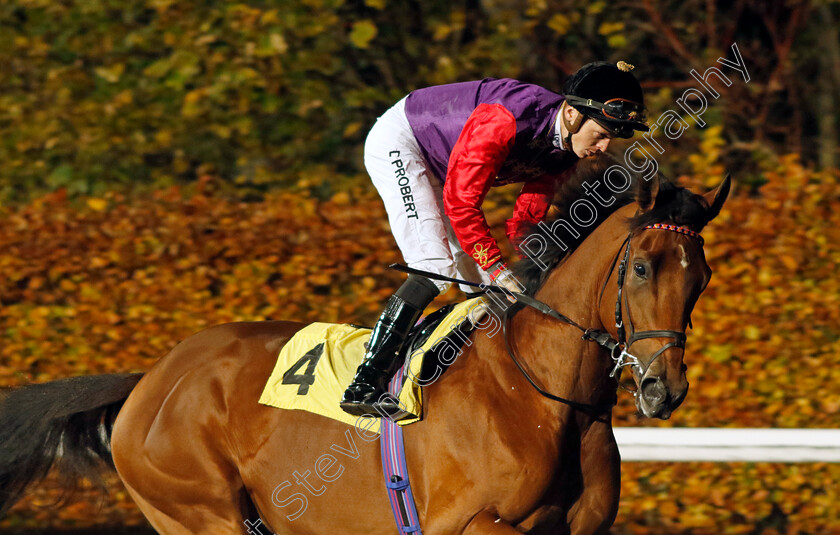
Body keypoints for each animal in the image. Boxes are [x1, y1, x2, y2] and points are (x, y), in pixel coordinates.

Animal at [1, 170, 728, 532]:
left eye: (702, 277)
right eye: (642, 269)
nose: (664, 388)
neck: (545, 398)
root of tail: (150, 382)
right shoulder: (460, 524)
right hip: (200, 511)